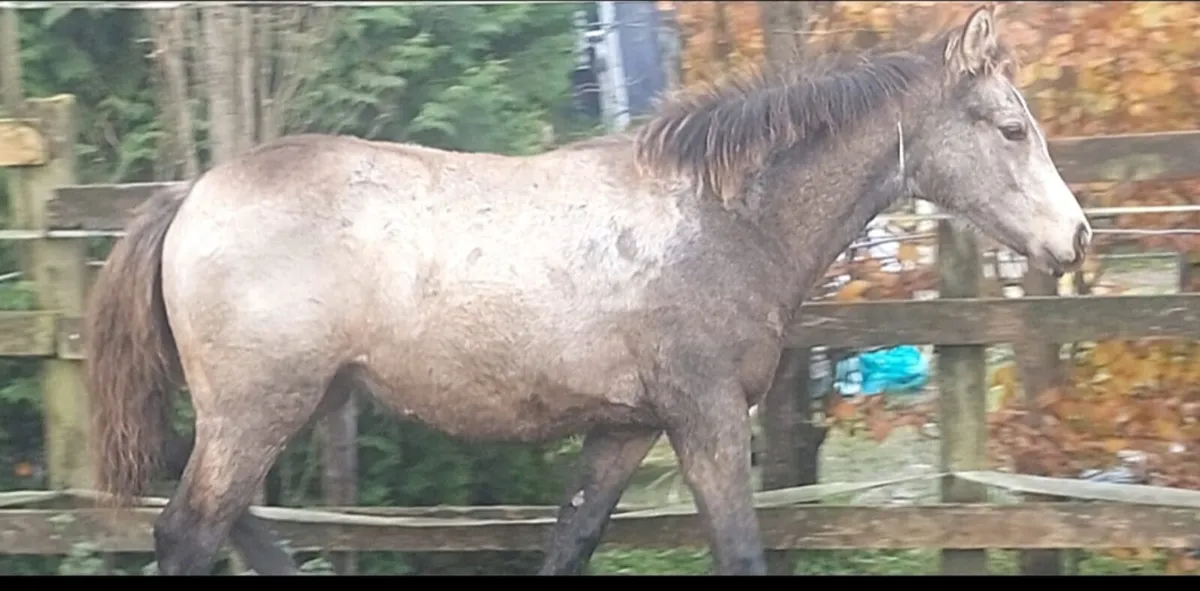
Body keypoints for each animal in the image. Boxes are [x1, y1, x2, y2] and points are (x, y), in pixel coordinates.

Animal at [84, 5, 1090, 575]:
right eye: (1010, 127)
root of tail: (189, 194)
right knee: (187, 532)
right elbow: (740, 548)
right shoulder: (705, 413)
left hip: (277, 406)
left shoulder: (625, 427)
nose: (1075, 237)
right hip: (258, 407)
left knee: (232, 526)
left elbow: (570, 539)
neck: (724, 217)